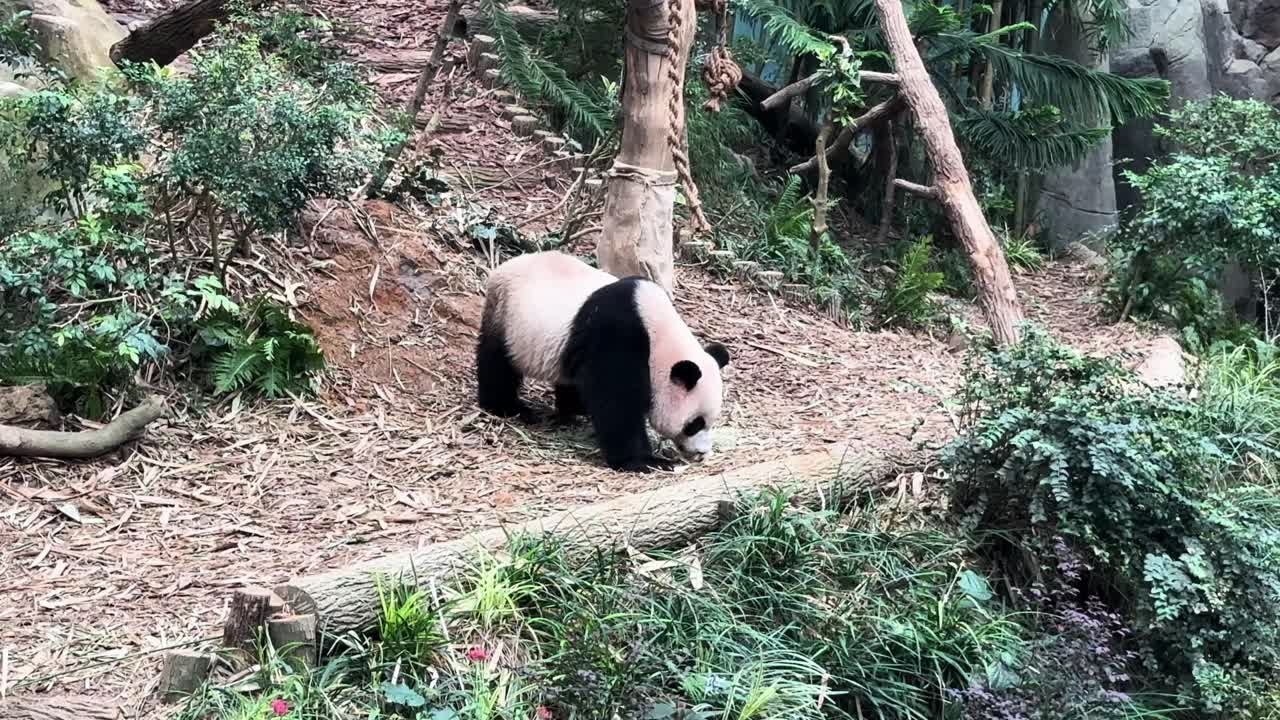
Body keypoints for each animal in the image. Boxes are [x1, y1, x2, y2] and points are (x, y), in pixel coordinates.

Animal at [475, 251, 731, 473]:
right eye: (695, 423)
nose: (702, 453)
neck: (658, 333)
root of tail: (503, 267)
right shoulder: (616, 335)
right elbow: (616, 401)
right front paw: (645, 461)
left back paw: (573, 408)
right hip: (506, 317)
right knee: (497, 364)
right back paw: (507, 407)